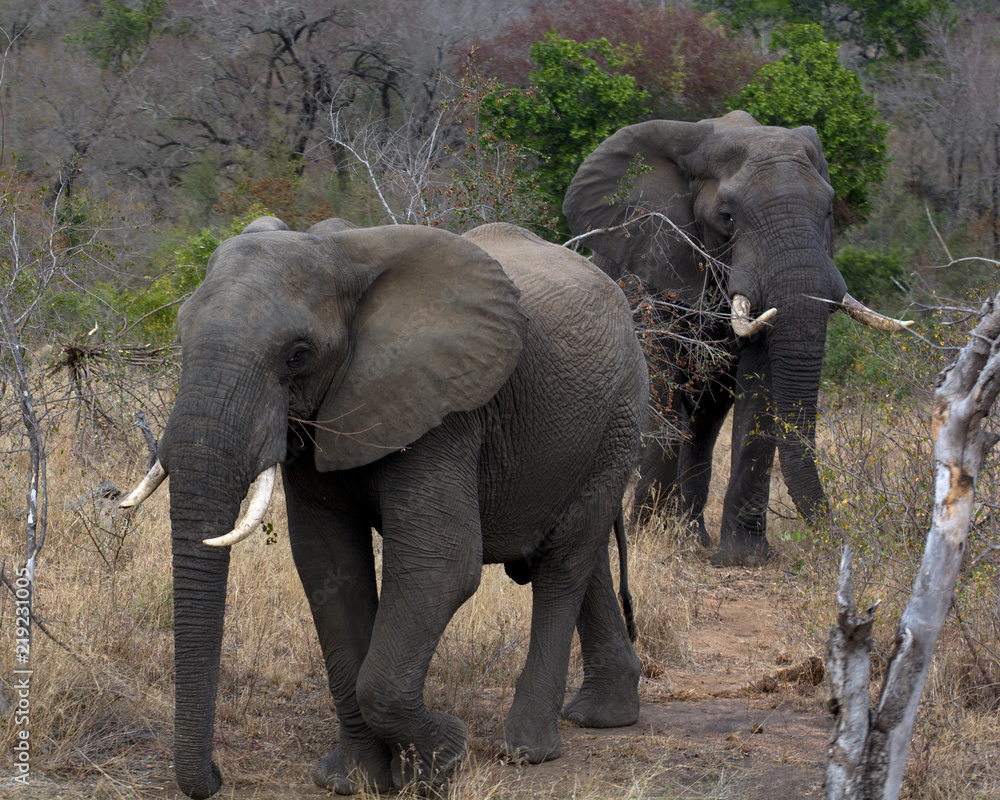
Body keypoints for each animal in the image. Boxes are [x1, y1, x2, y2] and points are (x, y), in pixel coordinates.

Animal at [120, 217, 647, 798]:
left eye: (297, 354)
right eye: (182, 335)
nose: (215, 778)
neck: (340, 254)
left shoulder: (443, 411)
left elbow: (440, 565)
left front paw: (442, 763)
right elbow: (328, 568)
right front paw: (350, 780)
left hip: (619, 415)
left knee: (563, 563)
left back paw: (526, 749)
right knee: (584, 557)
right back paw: (602, 717)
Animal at [563, 110, 910, 566]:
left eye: (828, 211)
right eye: (727, 217)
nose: (837, 537)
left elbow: (759, 397)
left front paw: (743, 557)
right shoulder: (653, 262)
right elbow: (662, 380)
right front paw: (649, 538)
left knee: (705, 425)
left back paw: (693, 538)